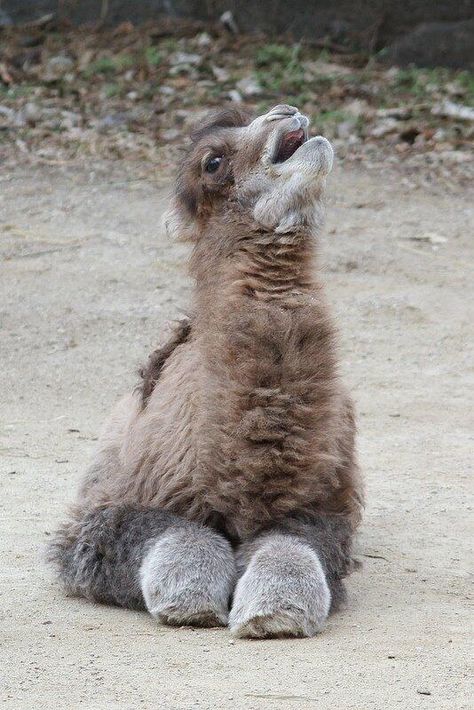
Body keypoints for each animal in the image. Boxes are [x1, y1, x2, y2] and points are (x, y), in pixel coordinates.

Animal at [51, 104, 362, 640]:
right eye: (212, 162)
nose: (285, 112)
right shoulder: (94, 518)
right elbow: (161, 529)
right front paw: (189, 601)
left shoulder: (323, 510)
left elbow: (298, 543)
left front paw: (274, 612)